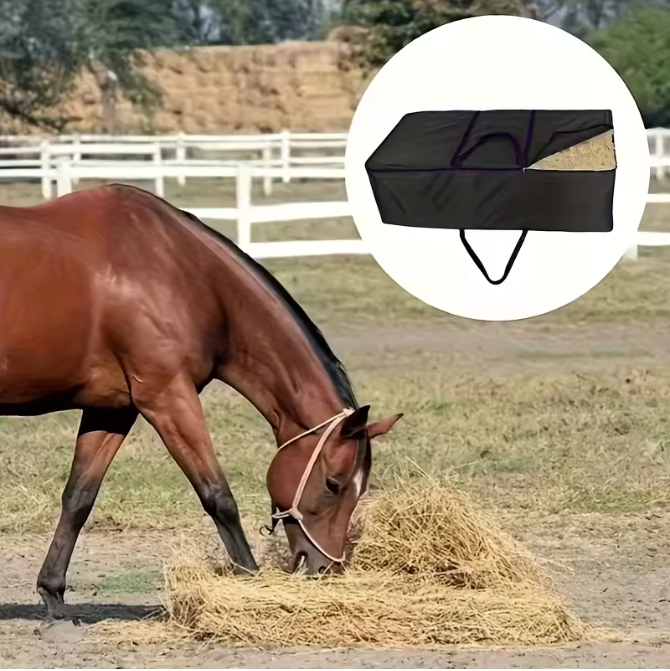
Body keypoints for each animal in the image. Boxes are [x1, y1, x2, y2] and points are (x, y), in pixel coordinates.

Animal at [0, 183, 403, 621]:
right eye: (334, 484)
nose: (325, 568)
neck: (181, 272)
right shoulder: (168, 398)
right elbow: (217, 495)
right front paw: (250, 585)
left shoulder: (113, 410)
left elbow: (79, 497)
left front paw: (53, 594)